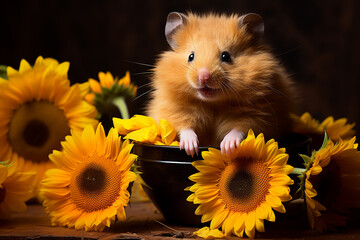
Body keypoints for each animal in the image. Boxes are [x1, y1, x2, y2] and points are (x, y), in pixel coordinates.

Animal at [146, 12, 296, 157]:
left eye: (226, 56)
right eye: (190, 56)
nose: (204, 77)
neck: (213, 103)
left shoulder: (257, 115)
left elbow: (240, 128)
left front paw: (227, 148)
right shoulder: (173, 110)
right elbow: (184, 126)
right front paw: (191, 149)